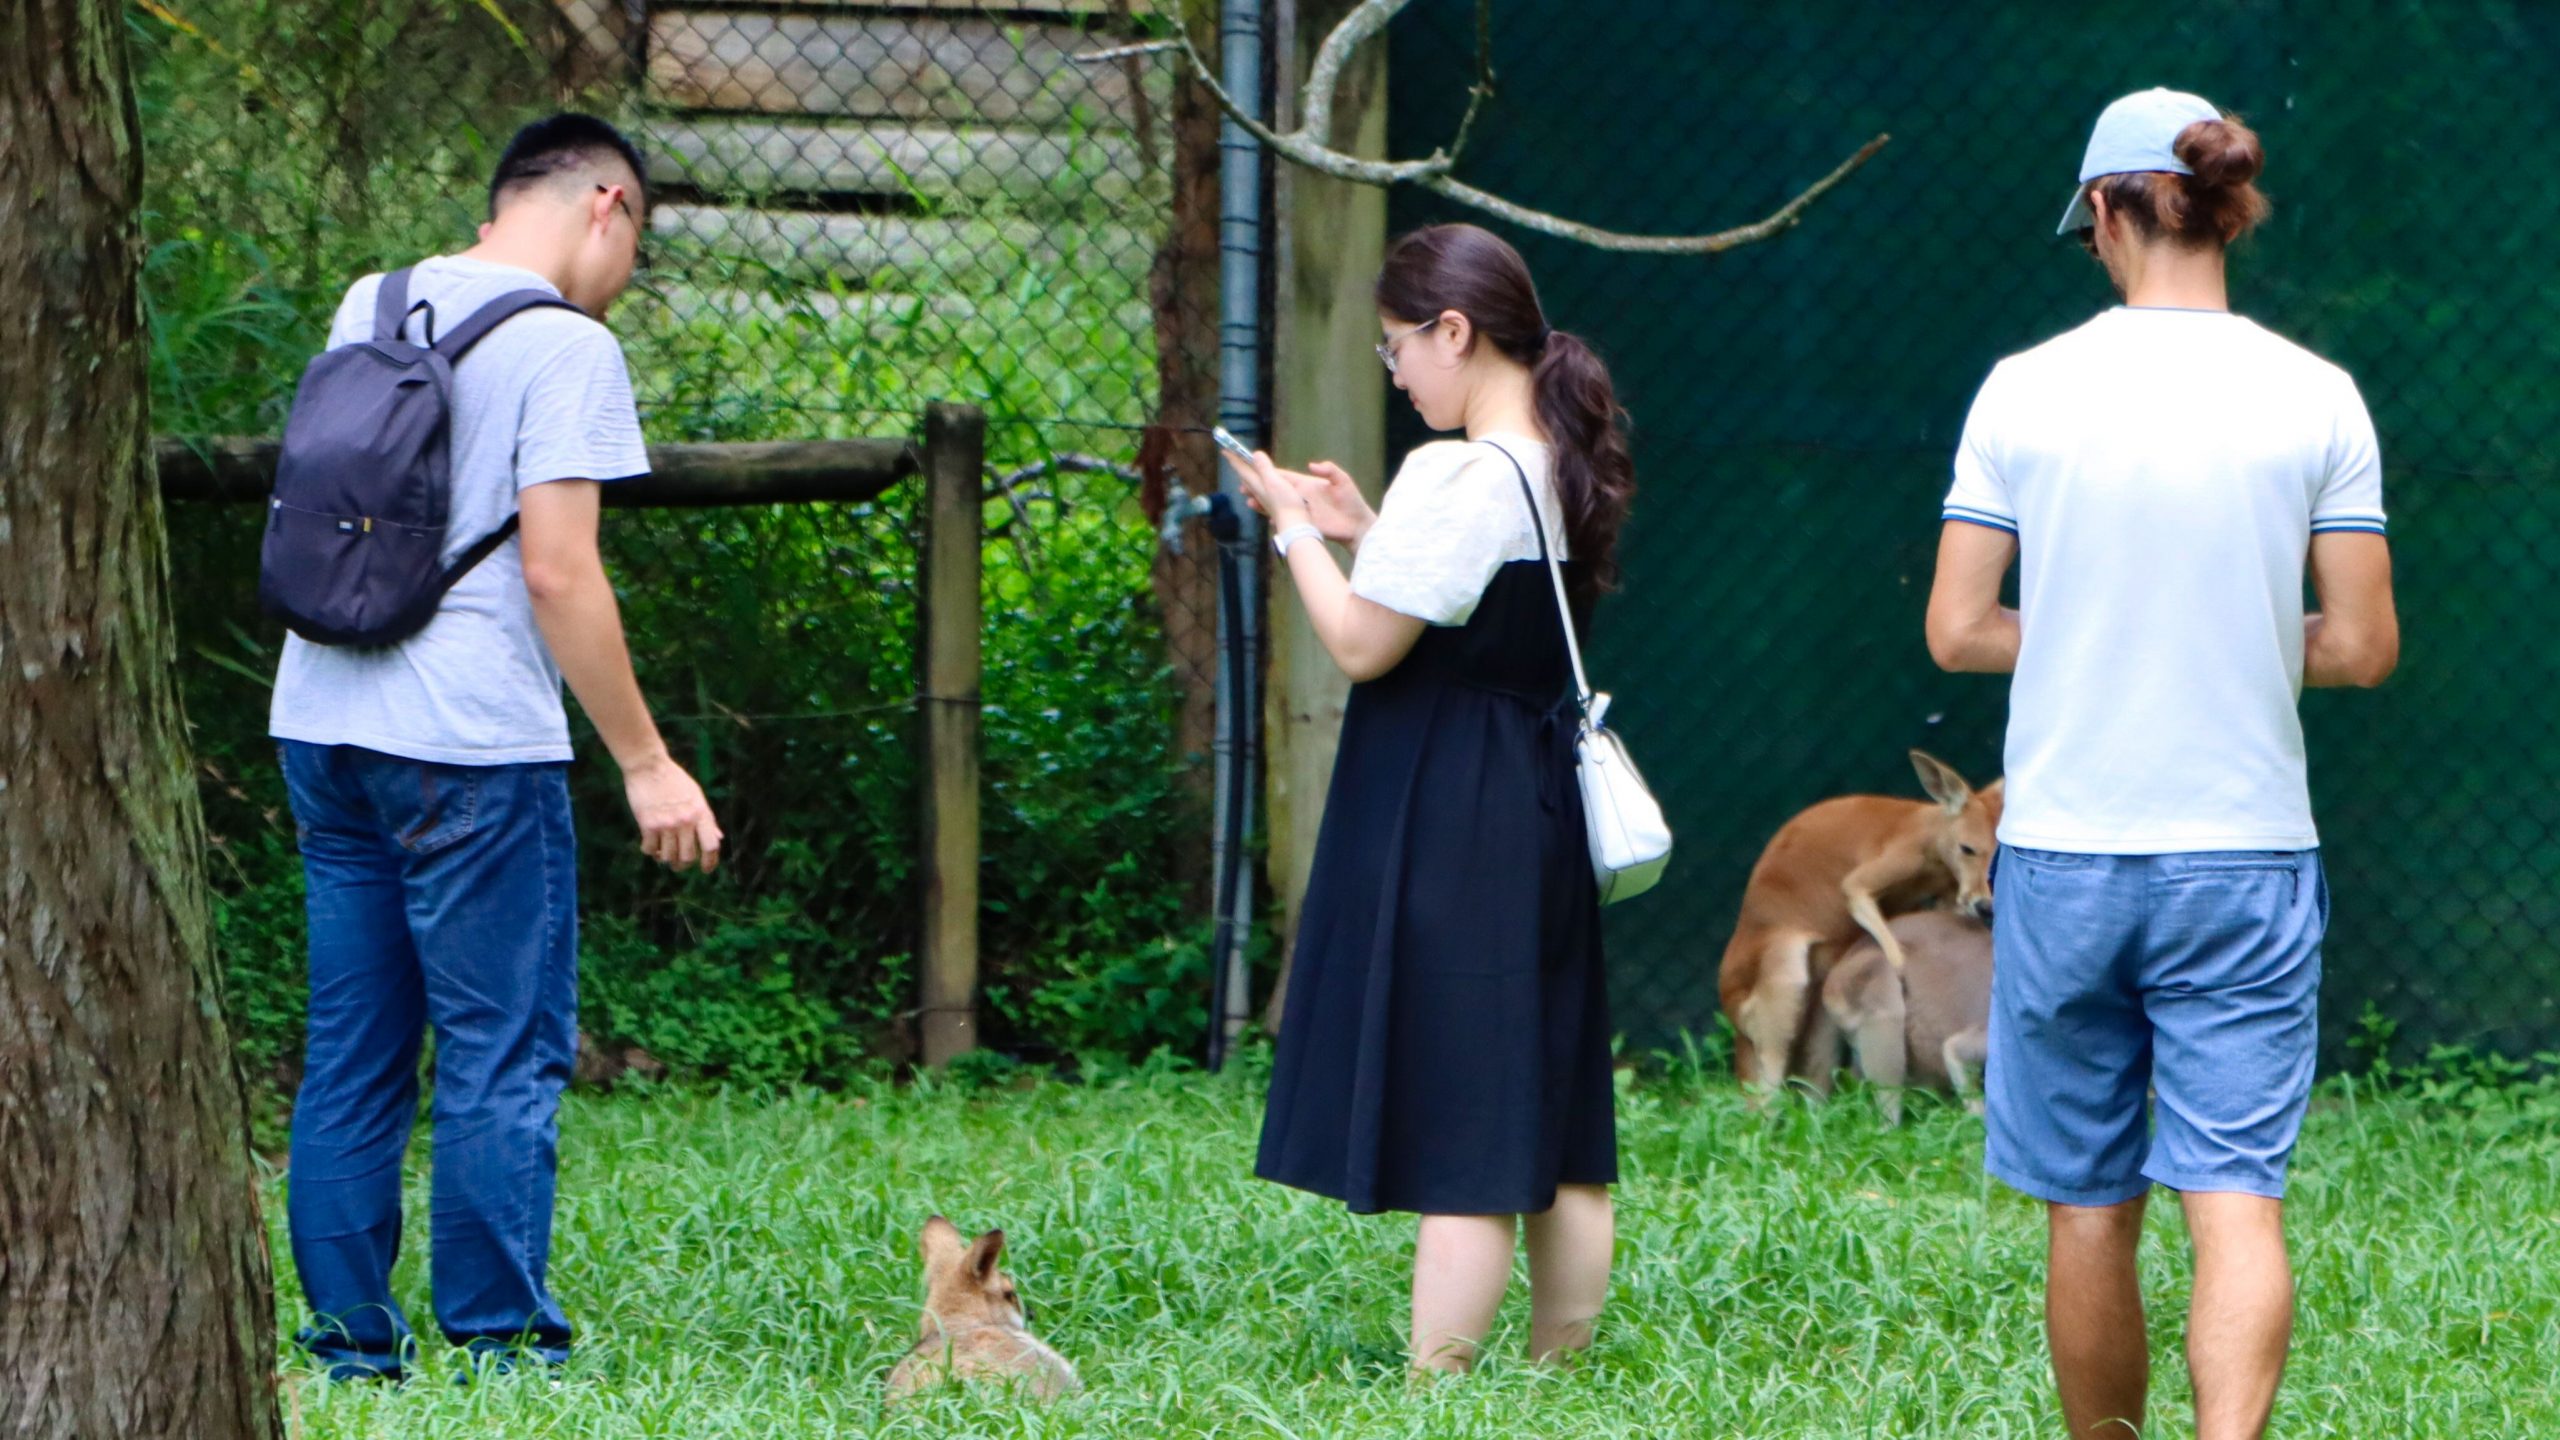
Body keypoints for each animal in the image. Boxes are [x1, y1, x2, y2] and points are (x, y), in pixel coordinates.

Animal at [1717, 750, 2001, 1099]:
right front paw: (1900, 966)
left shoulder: (1948, 893)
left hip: (1818, 1007)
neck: (1931, 830)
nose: (1986, 906)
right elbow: (1858, 895)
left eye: (1998, 854)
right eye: (1967, 849)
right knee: (1768, 1077)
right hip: (1782, 978)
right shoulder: (1894, 860)